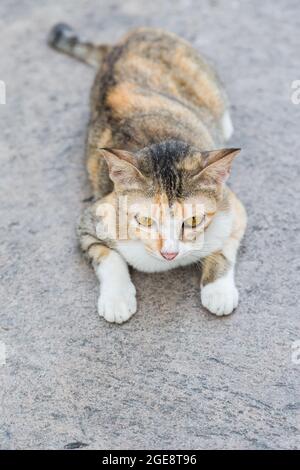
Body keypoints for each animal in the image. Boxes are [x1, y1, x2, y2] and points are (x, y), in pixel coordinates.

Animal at [48, 22, 246, 324]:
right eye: (144, 220)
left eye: (193, 220)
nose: (169, 253)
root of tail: (129, 35)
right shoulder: (91, 219)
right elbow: (108, 256)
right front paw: (117, 299)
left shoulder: (233, 208)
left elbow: (224, 246)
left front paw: (218, 290)